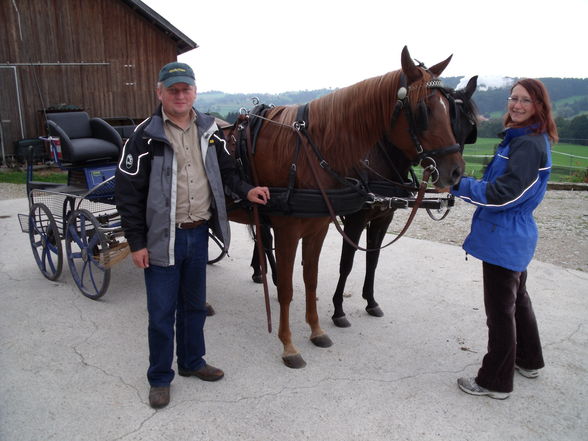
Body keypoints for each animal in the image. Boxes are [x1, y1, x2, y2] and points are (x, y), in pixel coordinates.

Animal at [225, 45, 464, 368]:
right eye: (423, 111)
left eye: (449, 109)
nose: (456, 171)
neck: (308, 152)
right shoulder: (297, 230)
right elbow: (295, 286)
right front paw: (290, 345)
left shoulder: (322, 228)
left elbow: (313, 279)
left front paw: (317, 330)